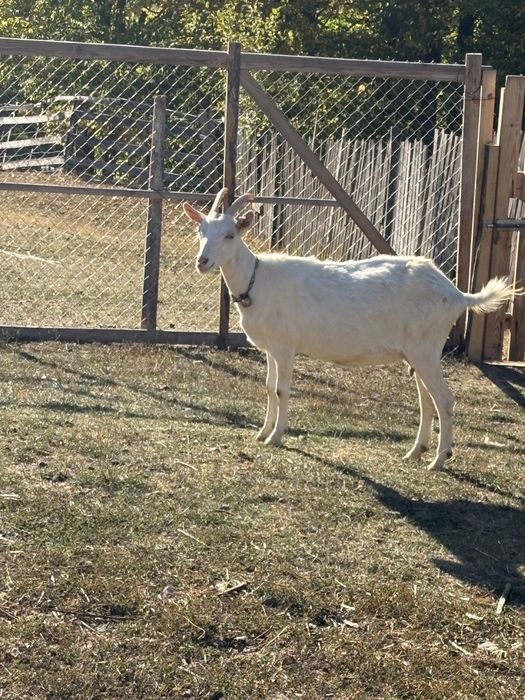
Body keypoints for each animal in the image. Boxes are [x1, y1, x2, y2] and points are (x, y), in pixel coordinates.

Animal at [184, 189, 518, 469]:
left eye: (230, 235)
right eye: (201, 231)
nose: (202, 261)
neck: (257, 280)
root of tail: (456, 294)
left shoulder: (286, 346)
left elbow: (281, 389)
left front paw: (275, 437)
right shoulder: (270, 347)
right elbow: (267, 387)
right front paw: (262, 432)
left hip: (426, 347)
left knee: (444, 400)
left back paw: (438, 460)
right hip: (418, 352)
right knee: (427, 400)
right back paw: (415, 452)